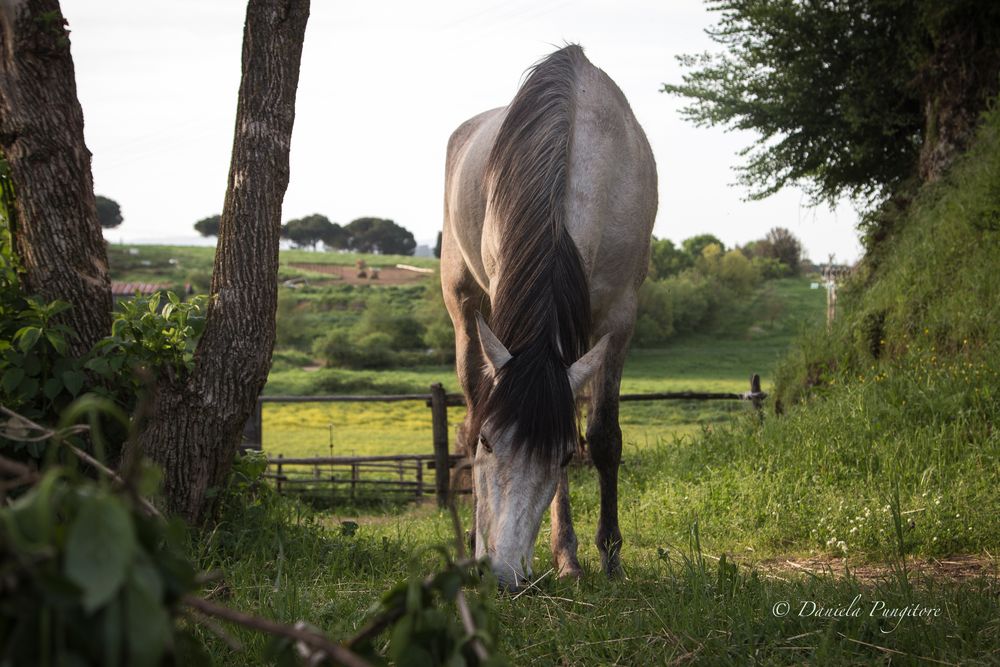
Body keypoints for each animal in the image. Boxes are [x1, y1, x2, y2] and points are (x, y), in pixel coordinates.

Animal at [442, 45, 660, 588]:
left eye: (559, 454)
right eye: (489, 443)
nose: (500, 575)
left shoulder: (619, 317)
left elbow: (601, 437)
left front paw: (607, 557)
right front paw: (568, 556)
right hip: (464, 308)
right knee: (471, 401)